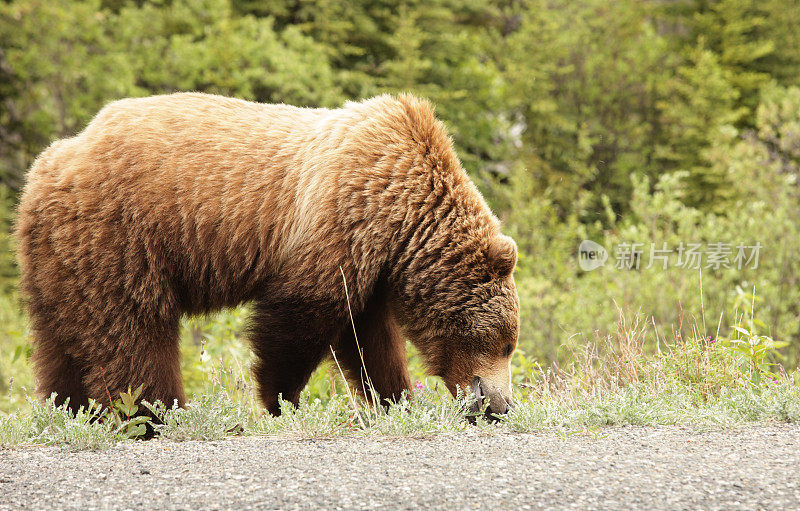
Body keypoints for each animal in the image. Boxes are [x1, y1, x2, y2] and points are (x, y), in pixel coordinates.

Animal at [18, 93, 520, 420]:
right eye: (507, 345)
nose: (499, 405)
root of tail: (47, 169)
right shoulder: (339, 218)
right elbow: (301, 318)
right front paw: (281, 401)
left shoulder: (372, 263)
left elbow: (368, 340)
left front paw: (395, 400)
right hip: (121, 237)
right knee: (133, 331)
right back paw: (153, 413)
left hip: (55, 260)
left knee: (59, 341)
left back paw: (68, 408)